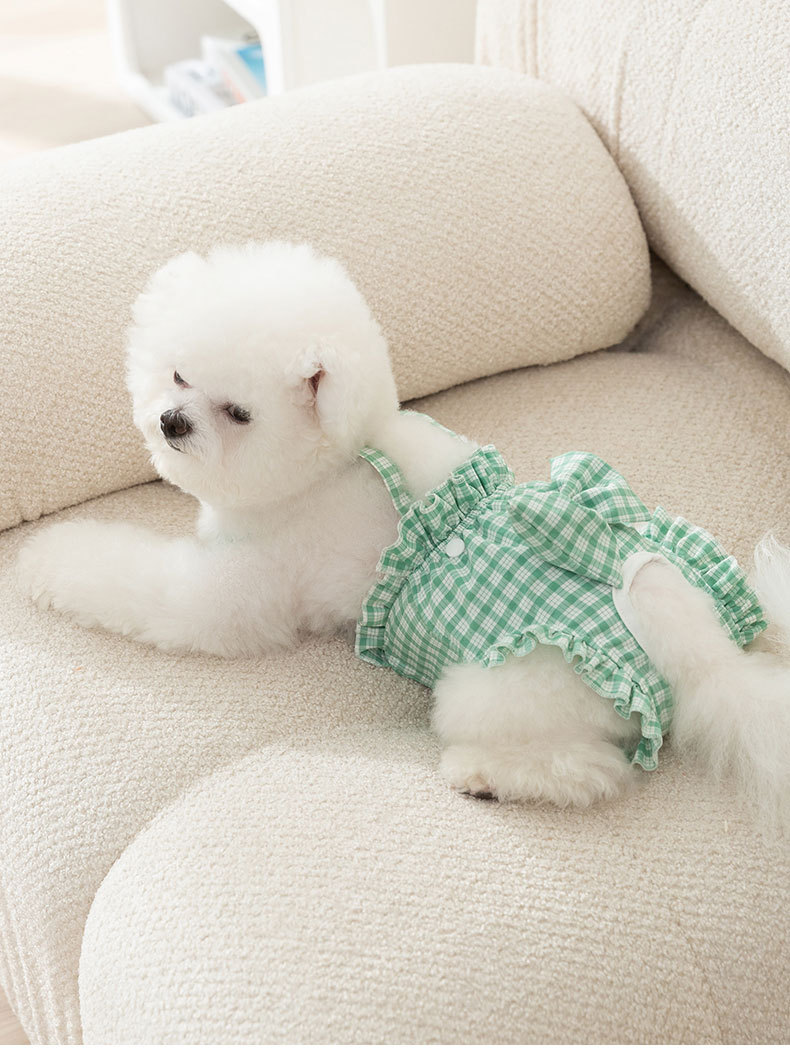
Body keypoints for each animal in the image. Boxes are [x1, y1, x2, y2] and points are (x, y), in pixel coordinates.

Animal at [17, 241, 790, 834]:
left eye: (237, 413)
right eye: (178, 373)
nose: (172, 421)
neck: (336, 461)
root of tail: (702, 657)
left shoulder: (237, 588)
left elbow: (134, 581)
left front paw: (46, 557)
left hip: (495, 688)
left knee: (587, 770)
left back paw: (486, 775)